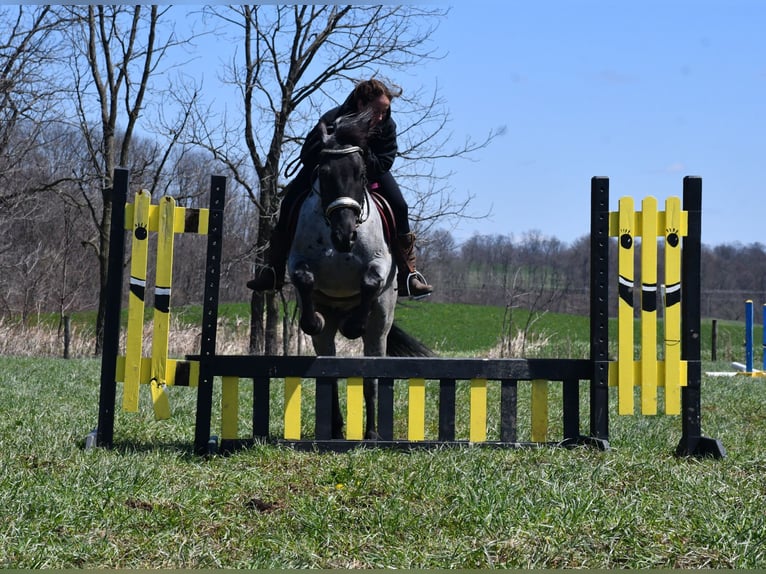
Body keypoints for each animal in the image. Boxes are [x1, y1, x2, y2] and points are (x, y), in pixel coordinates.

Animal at [287, 111, 432, 440]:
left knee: (372, 374)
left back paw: (372, 433)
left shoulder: (380, 265)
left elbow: (370, 281)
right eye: (323, 173)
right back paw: (336, 429)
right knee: (329, 373)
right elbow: (304, 279)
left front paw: (353, 325)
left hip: (380, 327)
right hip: (327, 338)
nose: (345, 234)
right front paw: (312, 321)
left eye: (361, 174)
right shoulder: (296, 262)